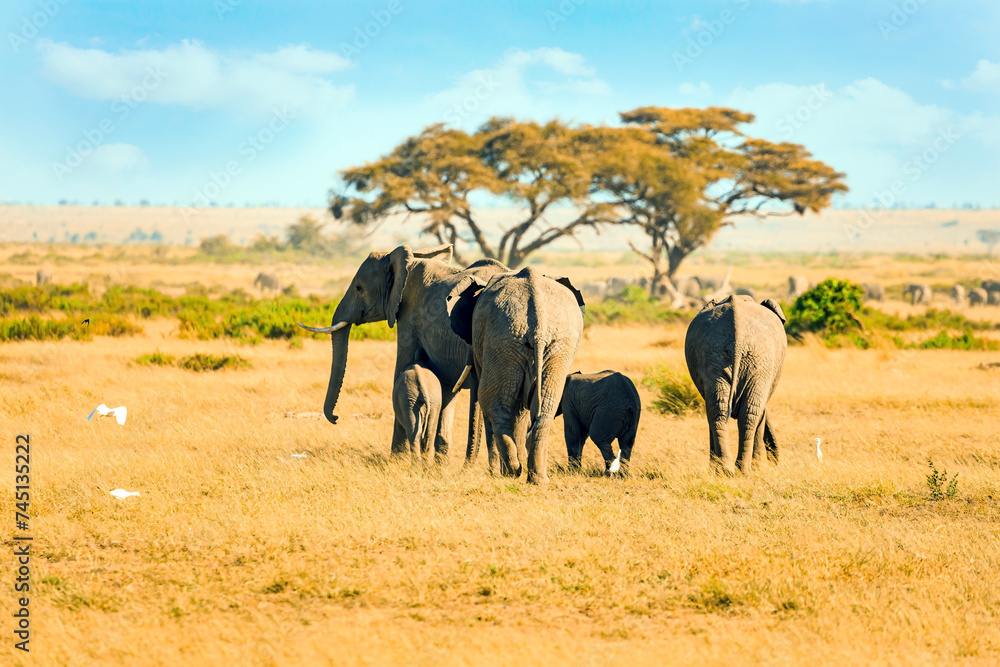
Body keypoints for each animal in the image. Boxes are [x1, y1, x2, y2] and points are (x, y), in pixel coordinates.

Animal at [447, 267, 585, 484]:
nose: (462, 472)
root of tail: (539, 329)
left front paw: (498, 472)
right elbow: (521, 409)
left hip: (506, 342)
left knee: (492, 401)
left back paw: (512, 471)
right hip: (549, 346)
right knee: (545, 406)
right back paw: (536, 479)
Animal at [684, 295, 787, 475]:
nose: (775, 460)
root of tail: (737, 342)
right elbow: (761, 414)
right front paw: (760, 468)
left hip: (720, 355)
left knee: (719, 409)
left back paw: (726, 470)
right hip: (758, 359)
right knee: (751, 412)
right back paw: (743, 469)